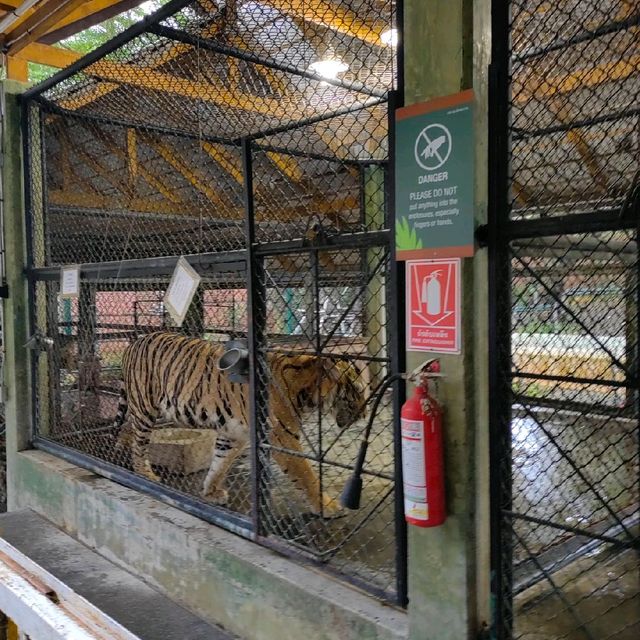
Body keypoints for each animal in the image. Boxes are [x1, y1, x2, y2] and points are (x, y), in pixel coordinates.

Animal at [110, 332, 364, 512]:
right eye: (358, 391)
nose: (364, 413)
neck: (306, 390)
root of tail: (135, 342)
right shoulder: (282, 437)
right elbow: (306, 474)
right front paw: (329, 507)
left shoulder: (234, 434)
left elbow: (220, 463)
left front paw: (211, 491)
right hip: (145, 407)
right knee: (138, 443)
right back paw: (145, 473)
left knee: (128, 429)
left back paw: (122, 448)